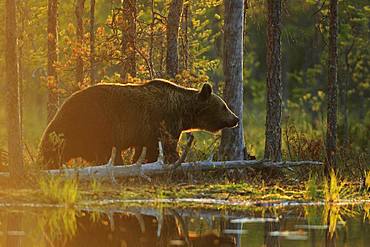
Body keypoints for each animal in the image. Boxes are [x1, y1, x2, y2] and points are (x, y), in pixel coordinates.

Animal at [39, 79, 238, 168]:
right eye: (224, 106)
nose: (236, 118)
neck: (182, 111)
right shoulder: (163, 122)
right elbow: (165, 146)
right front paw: (173, 159)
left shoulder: (144, 132)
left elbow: (142, 149)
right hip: (95, 124)